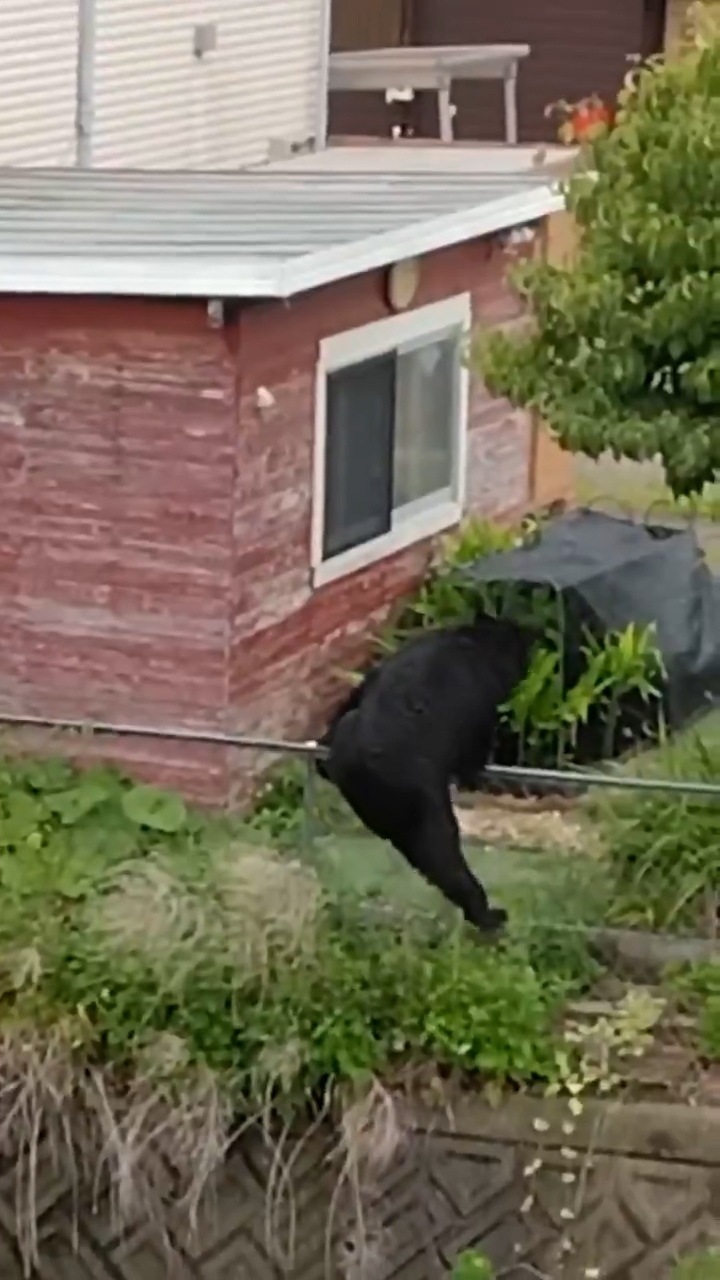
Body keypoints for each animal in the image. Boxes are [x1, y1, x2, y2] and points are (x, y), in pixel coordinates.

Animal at [316, 611, 537, 935]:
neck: (476, 643)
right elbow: (474, 756)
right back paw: (489, 917)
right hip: (430, 816)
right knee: (448, 866)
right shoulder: (478, 719)